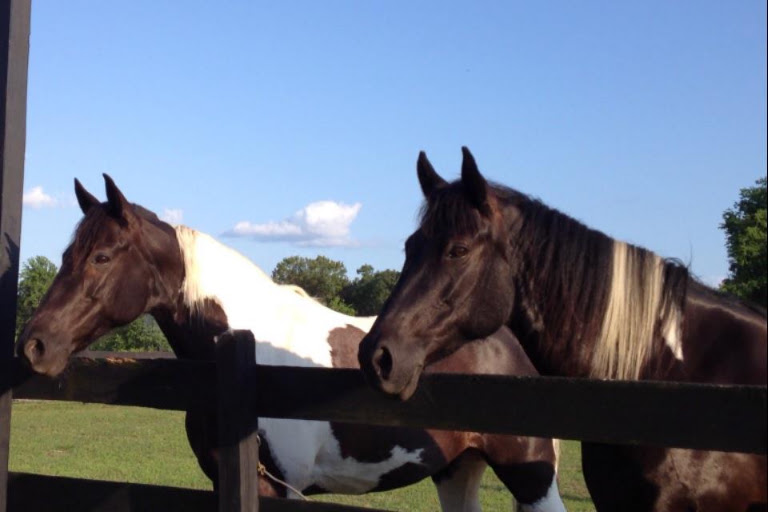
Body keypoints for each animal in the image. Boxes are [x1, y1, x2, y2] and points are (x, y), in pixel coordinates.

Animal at [16, 174, 567, 512]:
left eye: (102, 257)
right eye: (66, 255)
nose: (34, 344)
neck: (251, 361)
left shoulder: (276, 488)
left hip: (532, 479)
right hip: (457, 470)